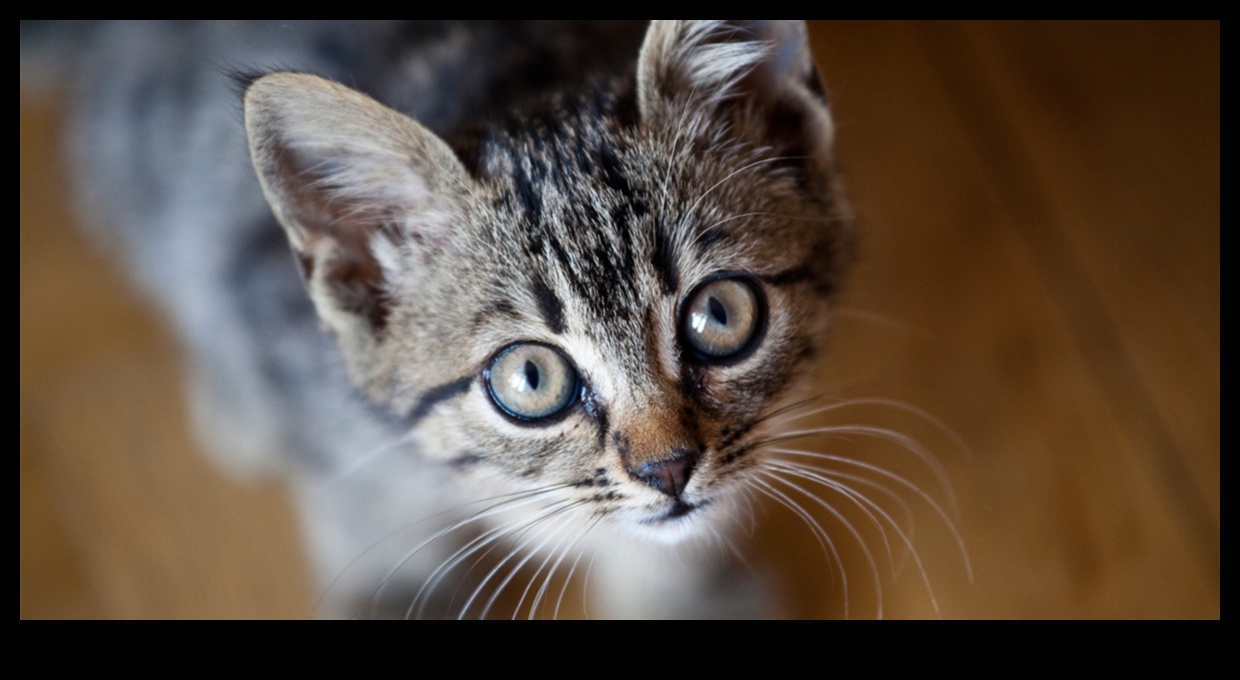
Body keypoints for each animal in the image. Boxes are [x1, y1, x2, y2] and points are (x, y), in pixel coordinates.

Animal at [67, 19, 853, 615]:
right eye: (531, 378)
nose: (668, 470)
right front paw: (388, 592)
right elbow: (358, 495)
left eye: (718, 315)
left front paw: (682, 595)